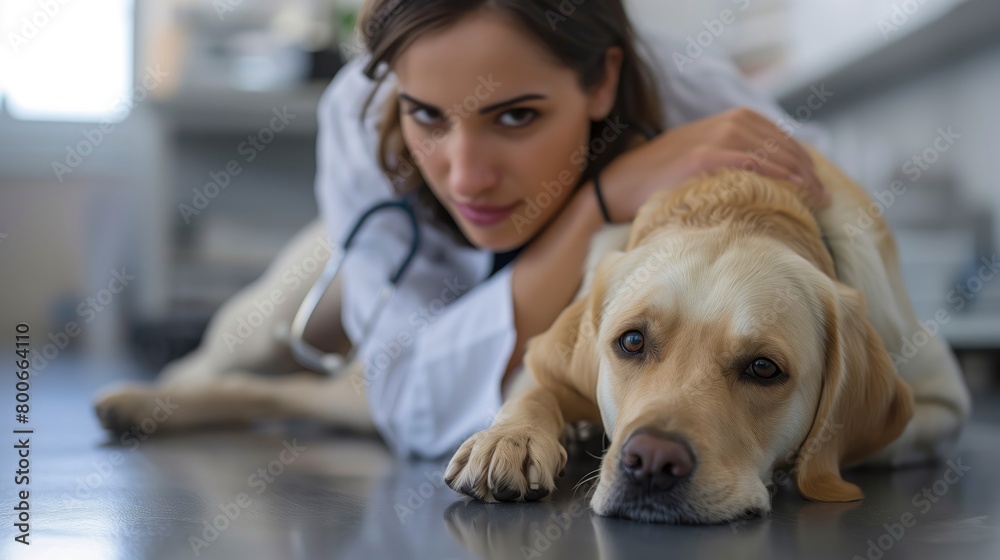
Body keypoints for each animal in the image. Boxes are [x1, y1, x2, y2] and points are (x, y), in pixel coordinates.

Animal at [94, 145, 968, 524]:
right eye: (631, 343)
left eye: (763, 369)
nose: (651, 463)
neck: (739, 197)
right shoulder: (541, 355)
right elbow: (528, 395)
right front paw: (509, 441)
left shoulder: (939, 407)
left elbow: (873, 444)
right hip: (289, 319)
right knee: (233, 368)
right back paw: (138, 398)